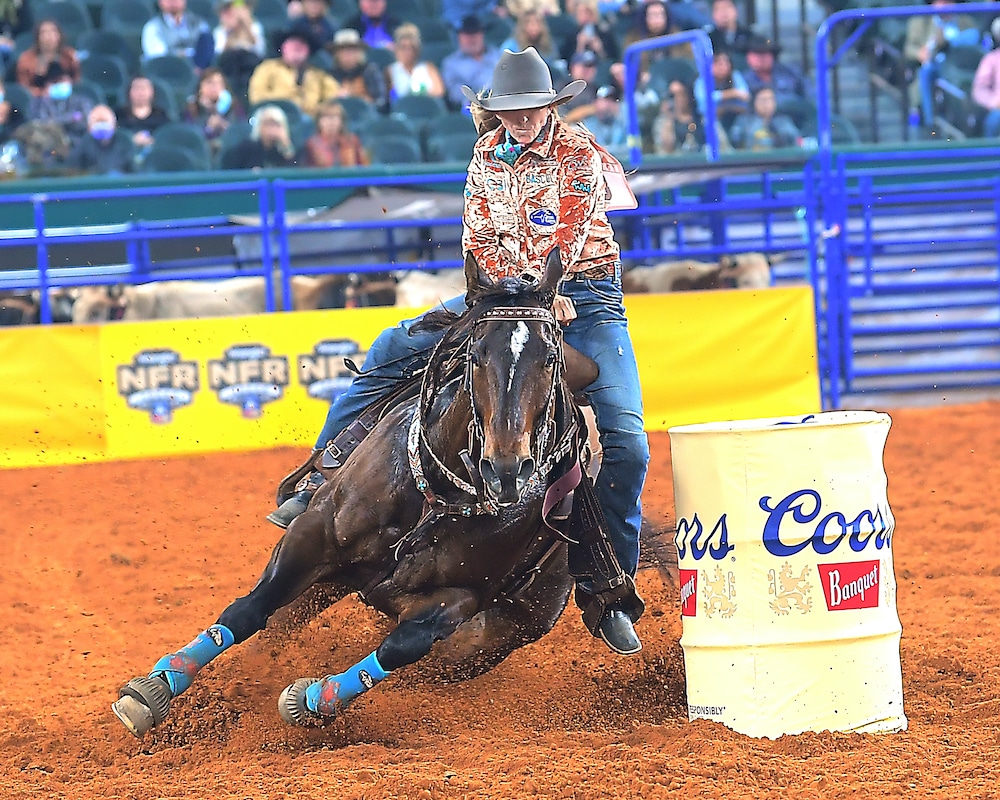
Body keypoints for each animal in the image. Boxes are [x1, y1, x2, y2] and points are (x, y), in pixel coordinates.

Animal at [112, 248, 604, 736]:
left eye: (550, 358)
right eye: (477, 355)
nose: (506, 467)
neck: (437, 494)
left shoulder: (458, 601)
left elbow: (399, 647)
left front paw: (313, 698)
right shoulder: (314, 533)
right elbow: (249, 610)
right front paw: (153, 690)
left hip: (486, 639)